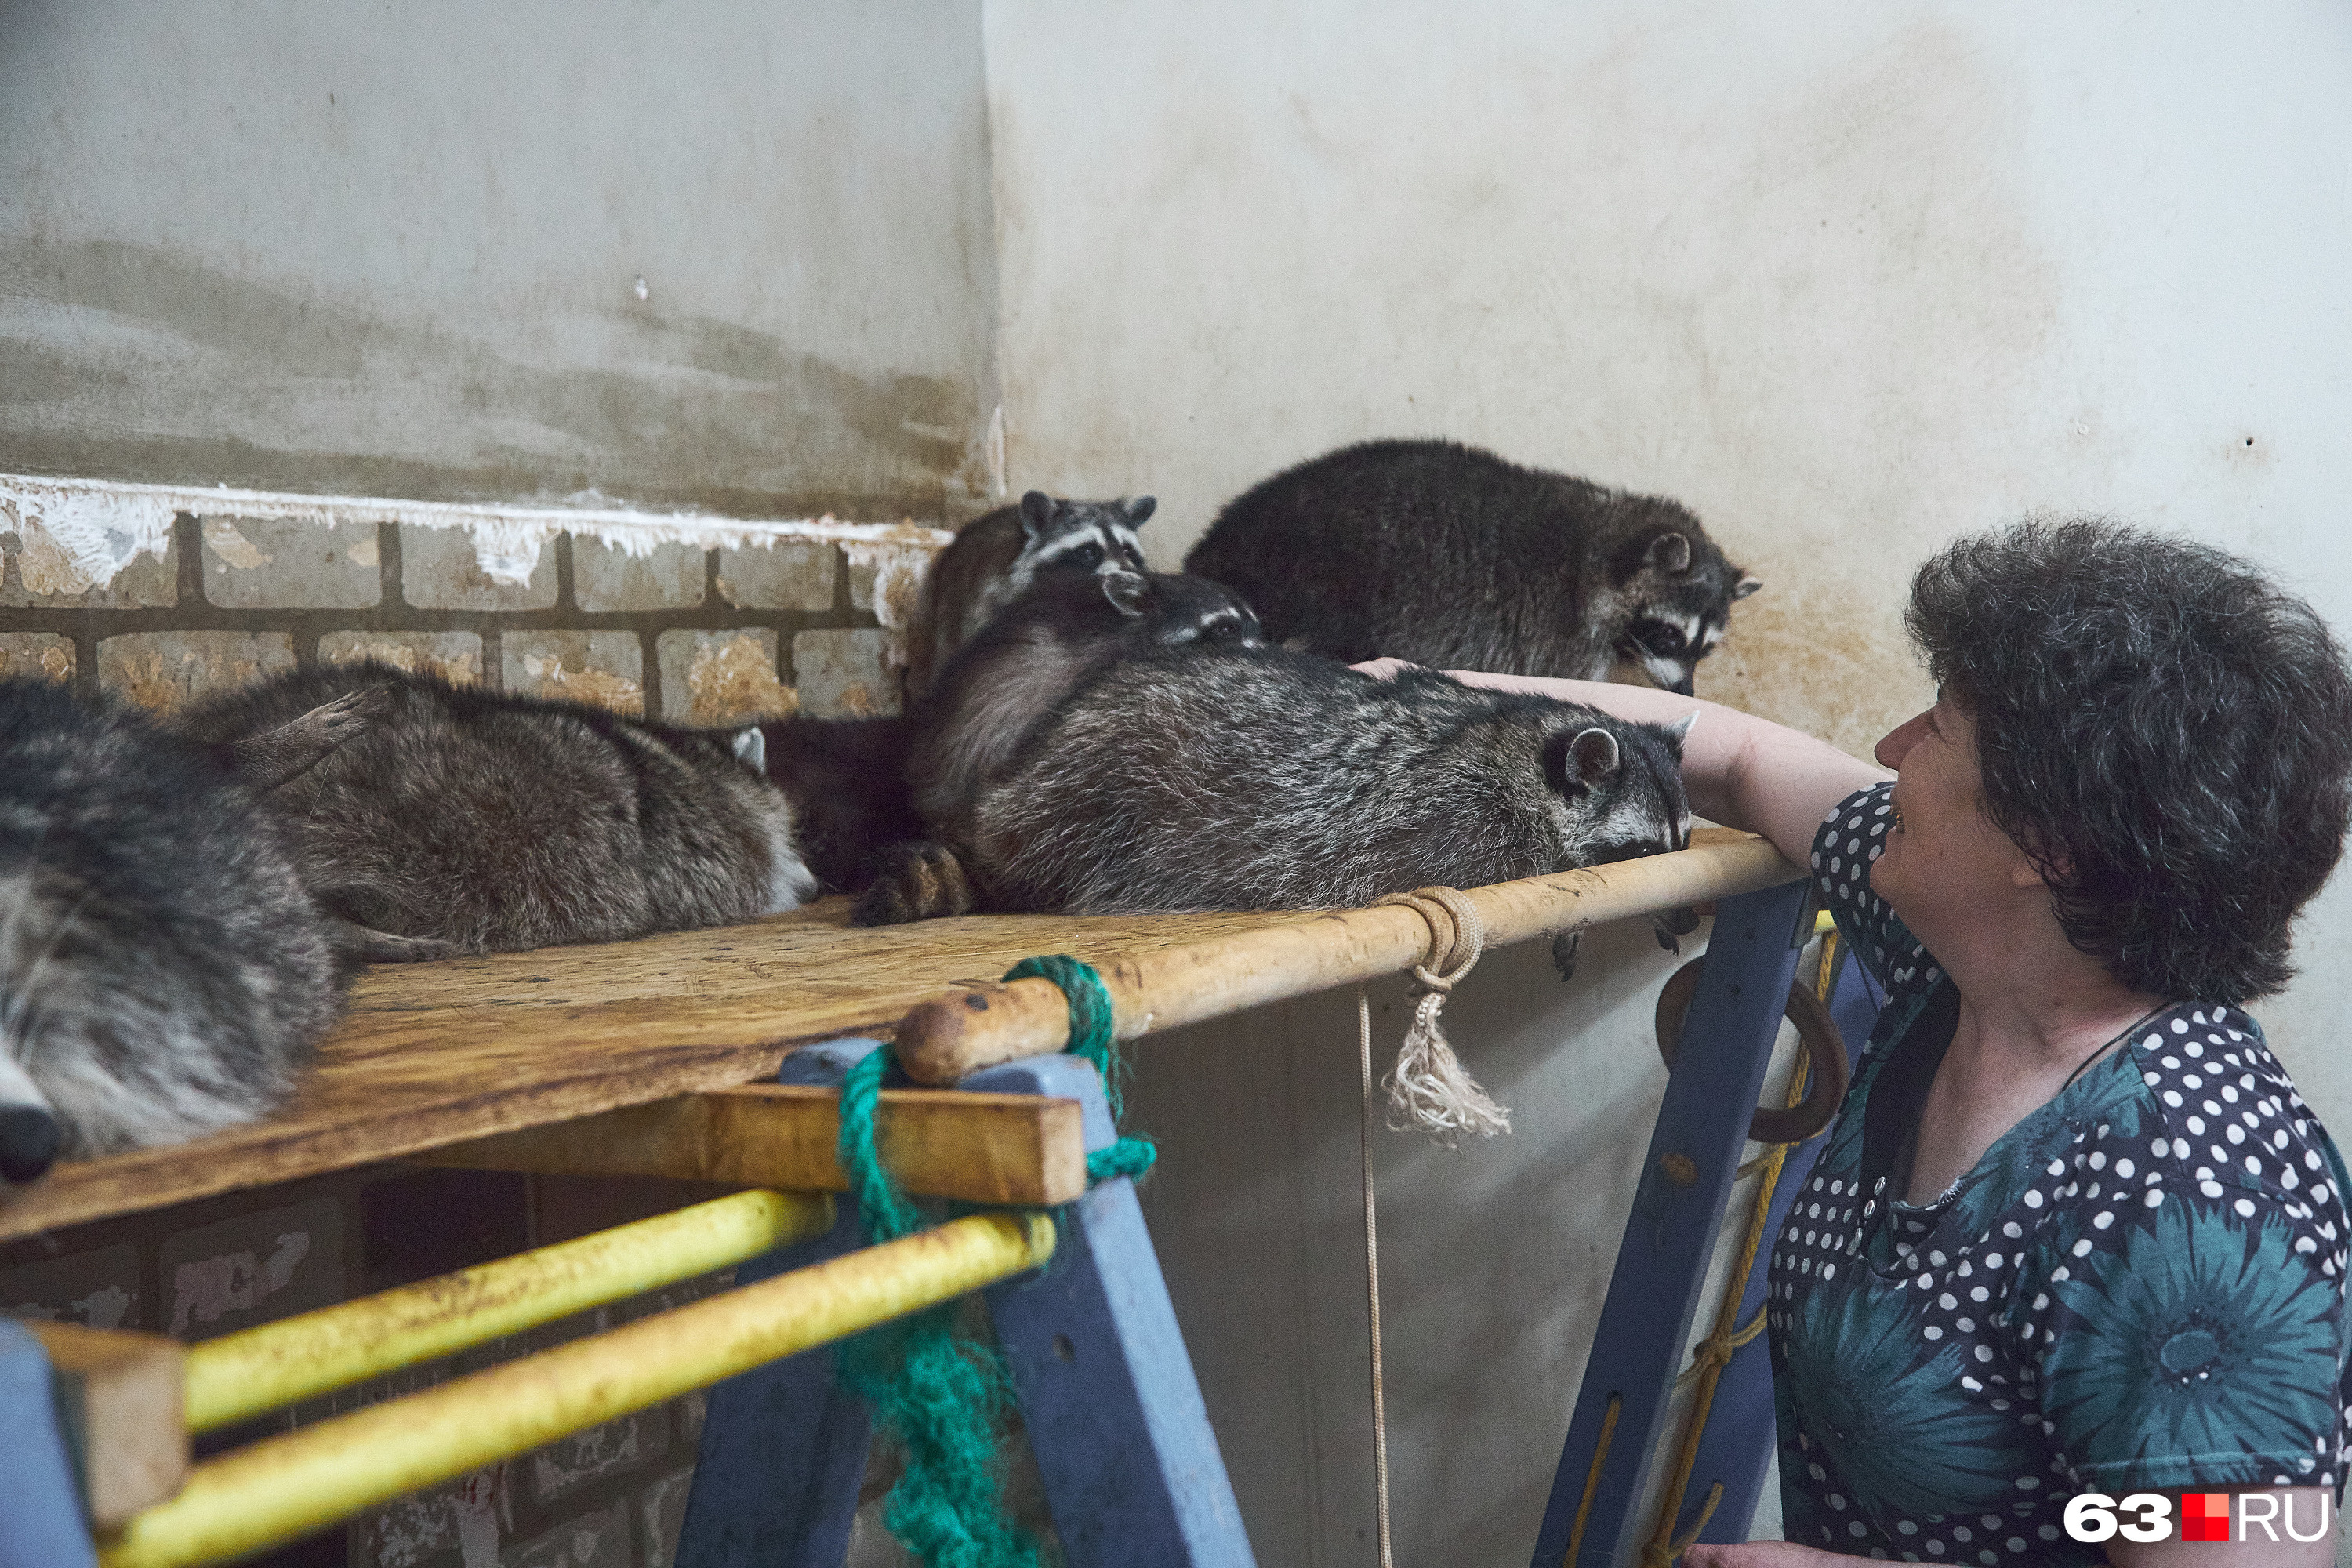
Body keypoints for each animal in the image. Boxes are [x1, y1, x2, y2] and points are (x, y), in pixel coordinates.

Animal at [1185, 434, 1759, 691]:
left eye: (1705, 650)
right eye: (1668, 635)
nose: (1685, 690)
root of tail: (1219, 546)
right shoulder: (1561, 636)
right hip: (1328, 588)